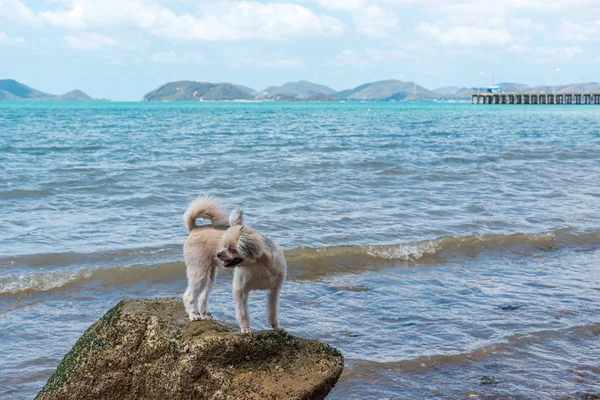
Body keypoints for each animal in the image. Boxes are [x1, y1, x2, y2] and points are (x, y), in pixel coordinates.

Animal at [182, 195, 288, 334]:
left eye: (232, 249)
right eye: (224, 246)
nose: (219, 254)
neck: (257, 266)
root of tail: (194, 228)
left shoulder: (274, 291)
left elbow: (273, 312)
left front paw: (277, 328)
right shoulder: (240, 291)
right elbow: (242, 312)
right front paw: (246, 328)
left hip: (209, 276)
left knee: (203, 296)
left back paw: (204, 315)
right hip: (199, 272)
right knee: (189, 296)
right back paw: (193, 315)